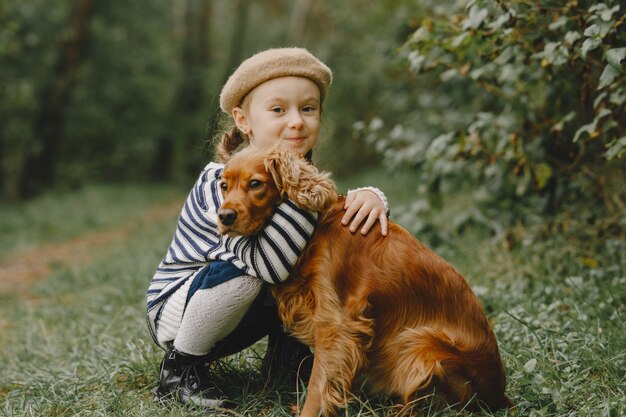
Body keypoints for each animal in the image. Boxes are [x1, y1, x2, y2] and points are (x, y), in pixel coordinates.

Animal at [217, 145, 510, 414]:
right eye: (223, 186)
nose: (224, 216)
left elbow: (318, 382)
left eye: (255, 183)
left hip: (418, 343)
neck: (315, 229)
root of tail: (500, 396)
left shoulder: (335, 323)